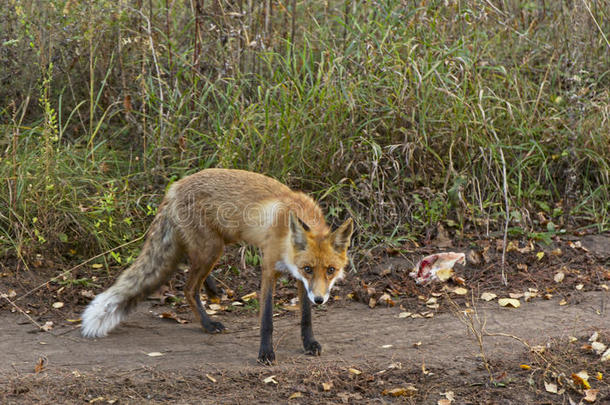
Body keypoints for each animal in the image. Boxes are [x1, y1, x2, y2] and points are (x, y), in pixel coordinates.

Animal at [83, 167, 354, 362]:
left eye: (330, 271)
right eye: (309, 268)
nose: (320, 299)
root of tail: (175, 187)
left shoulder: (300, 279)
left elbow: (306, 316)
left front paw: (309, 343)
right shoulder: (269, 270)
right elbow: (267, 319)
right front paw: (265, 353)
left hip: (215, 245)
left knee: (188, 266)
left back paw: (212, 290)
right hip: (212, 249)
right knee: (188, 288)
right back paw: (207, 323)